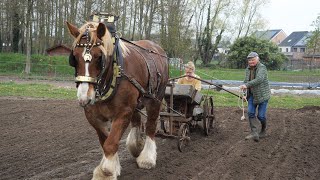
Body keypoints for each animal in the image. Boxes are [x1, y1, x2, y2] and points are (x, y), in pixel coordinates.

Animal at [66, 20, 169, 179]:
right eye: (74, 58)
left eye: (99, 57)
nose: (84, 98)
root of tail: (157, 48)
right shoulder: (93, 115)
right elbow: (105, 141)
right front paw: (112, 166)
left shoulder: (123, 112)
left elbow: (111, 142)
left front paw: (106, 171)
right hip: (137, 102)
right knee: (137, 120)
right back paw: (136, 145)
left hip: (156, 98)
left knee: (151, 125)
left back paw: (147, 158)